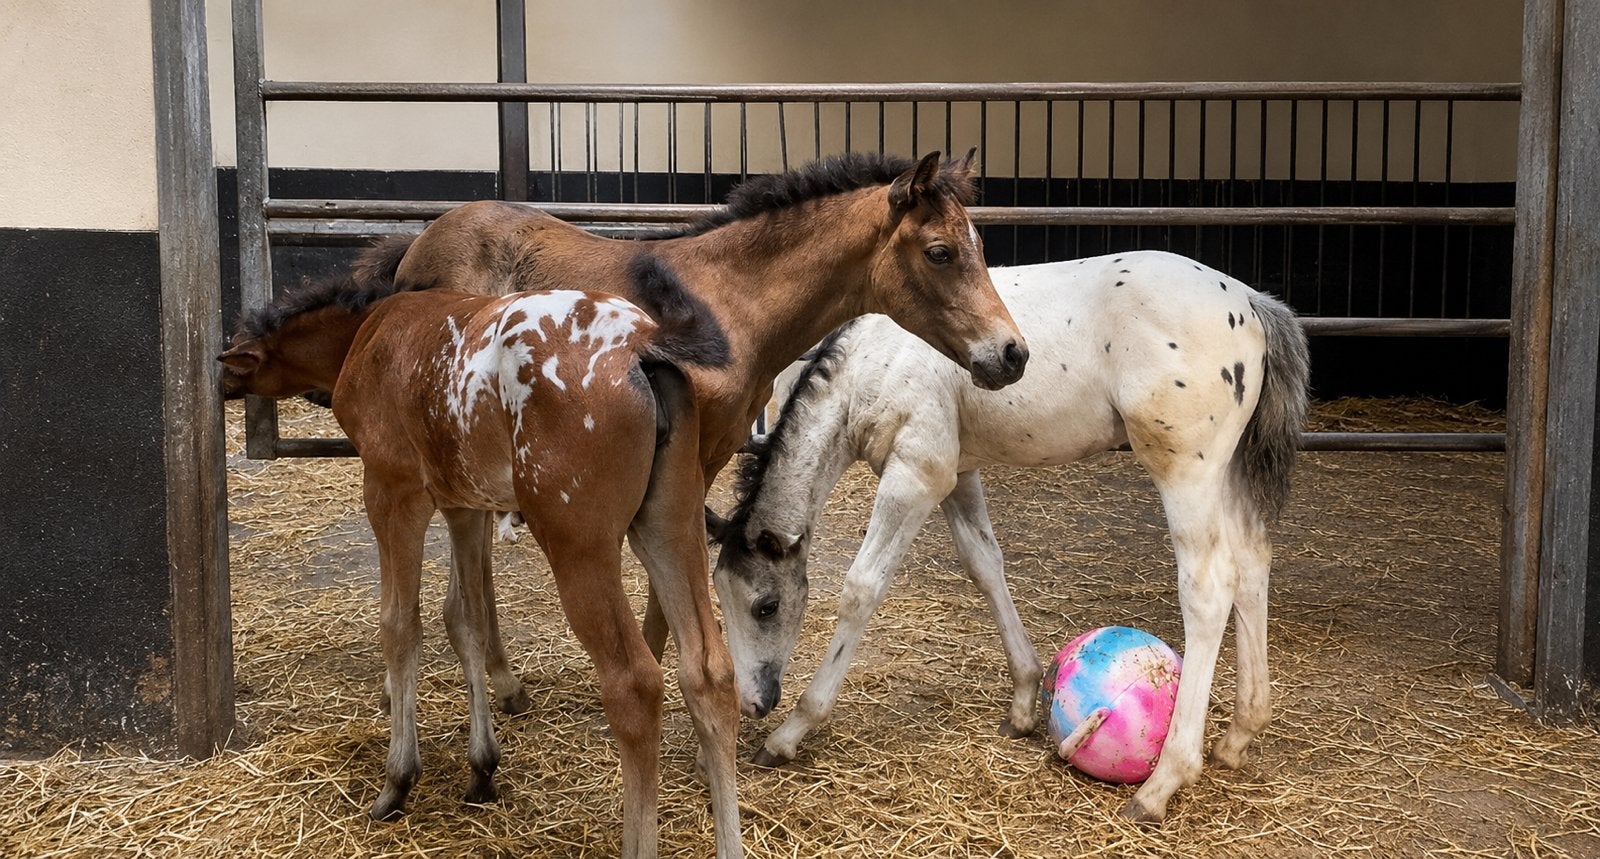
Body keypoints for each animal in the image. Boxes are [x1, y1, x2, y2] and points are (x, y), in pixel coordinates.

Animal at [706, 251, 1310, 823]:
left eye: (765, 606)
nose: (753, 703)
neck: (871, 365)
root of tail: (1252, 302)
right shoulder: (957, 473)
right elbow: (984, 563)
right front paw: (1023, 700)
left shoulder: (916, 474)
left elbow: (862, 589)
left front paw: (791, 732)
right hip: (1229, 469)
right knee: (1252, 564)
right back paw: (1239, 734)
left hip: (1186, 468)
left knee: (1209, 588)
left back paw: (1163, 782)